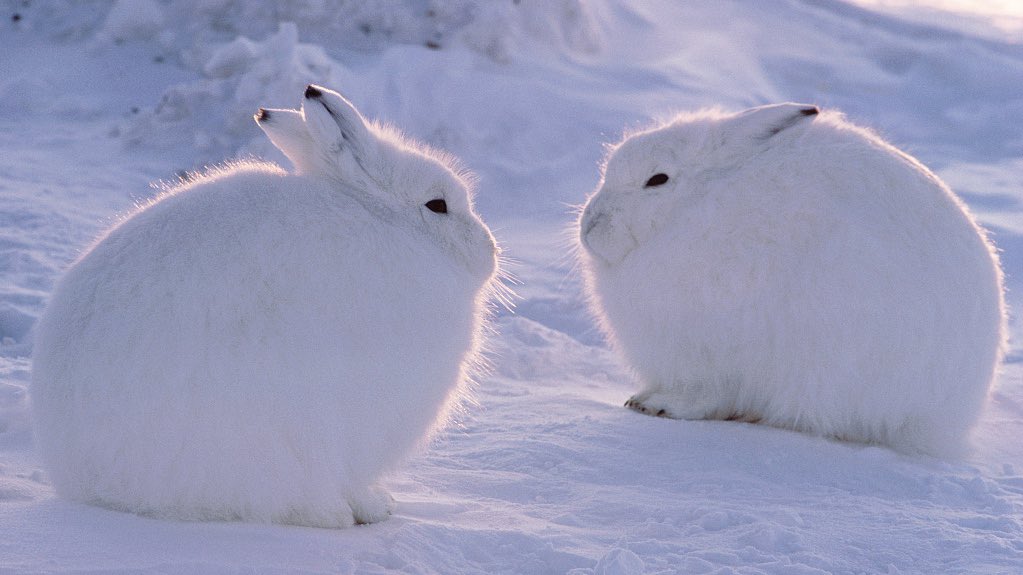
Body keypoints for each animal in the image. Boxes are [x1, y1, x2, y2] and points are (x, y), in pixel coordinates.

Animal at [30, 85, 501, 527]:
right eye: (437, 205)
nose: (491, 251)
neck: (382, 219)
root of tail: (92, 482)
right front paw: (373, 507)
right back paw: (332, 513)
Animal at [578, 103, 1007, 457]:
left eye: (658, 179)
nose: (589, 226)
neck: (693, 207)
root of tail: (951, 416)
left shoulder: (714, 349)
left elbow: (707, 393)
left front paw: (655, 404)